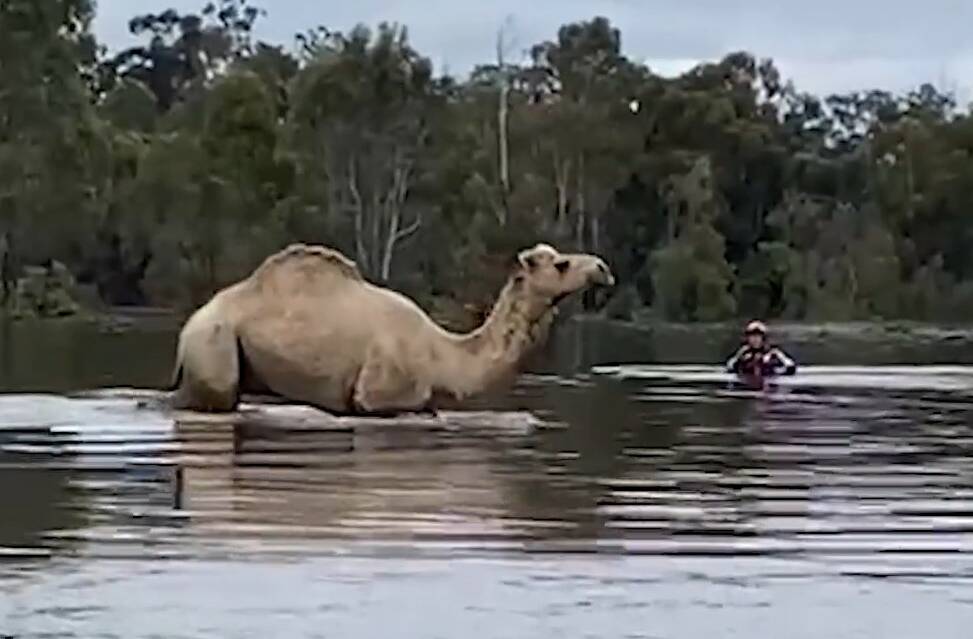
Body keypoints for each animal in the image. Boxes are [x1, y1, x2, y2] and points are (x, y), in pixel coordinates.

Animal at [169, 242, 614, 415]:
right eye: (561, 264)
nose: (603, 268)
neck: (443, 356)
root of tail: (190, 323)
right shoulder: (381, 397)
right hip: (214, 347)